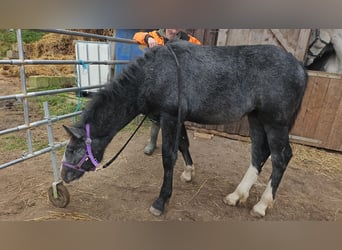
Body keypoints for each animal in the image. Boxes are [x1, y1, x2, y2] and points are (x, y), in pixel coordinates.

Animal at [60, 40, 308, 217]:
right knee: (259, 153)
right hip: (256, 118)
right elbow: (183, 144)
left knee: (281, 157)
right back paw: (237, 195)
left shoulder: (169, 117)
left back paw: (262, 205)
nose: (64, 176)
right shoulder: (176, 118)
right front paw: (189, 172)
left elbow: (168, 157)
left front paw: (161, 201)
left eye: (72, 150)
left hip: (275, 123)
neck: (154, 74)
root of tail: (300, 68)